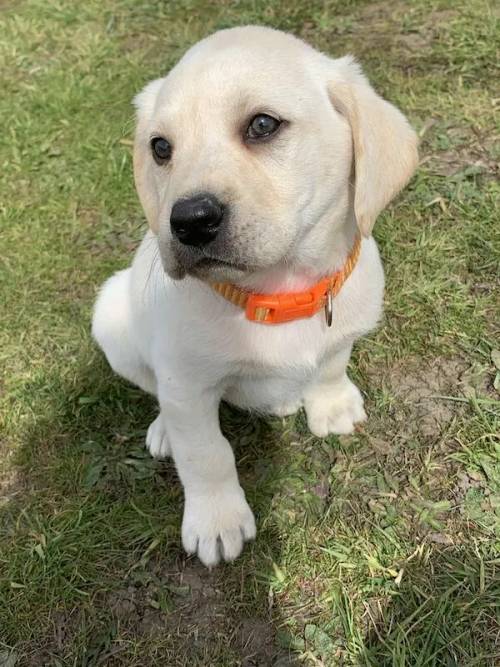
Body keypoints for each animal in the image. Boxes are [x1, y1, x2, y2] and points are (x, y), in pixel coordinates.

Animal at [93, 27, 418, 568]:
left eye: (262, 125)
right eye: (160, 148)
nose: (189, 221)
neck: (279, 291)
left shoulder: (342, 326)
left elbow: (331, 363)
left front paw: (331, 404)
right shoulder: (187, 385)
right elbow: (206, 454)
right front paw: (217, 520)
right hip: (111, 313)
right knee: (154, 390)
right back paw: (163, 430)